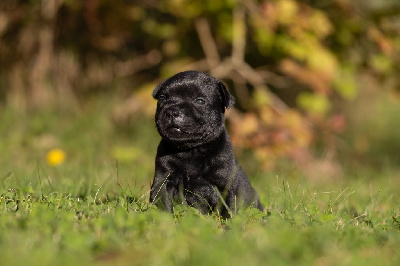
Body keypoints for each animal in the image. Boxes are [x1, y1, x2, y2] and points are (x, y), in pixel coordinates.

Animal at [150, 71, 262, 218]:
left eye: (200, 101)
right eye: (163, 98)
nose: (172, 111)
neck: (191, 150)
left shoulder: (225, 186)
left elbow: (229, 209)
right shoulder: (163, 180)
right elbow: (163, 203)